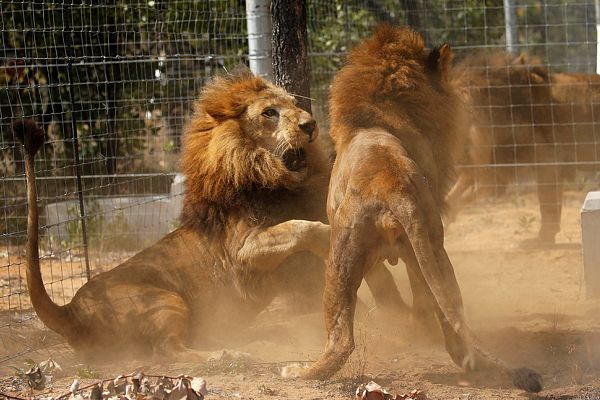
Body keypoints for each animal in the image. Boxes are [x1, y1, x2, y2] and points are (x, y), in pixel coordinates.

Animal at [290, 25, 544, 394]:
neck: (374, 120)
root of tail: (391, 189)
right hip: (433, 252)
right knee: (451, 319)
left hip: (341, 258)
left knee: (342, 341)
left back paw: (298, 371)